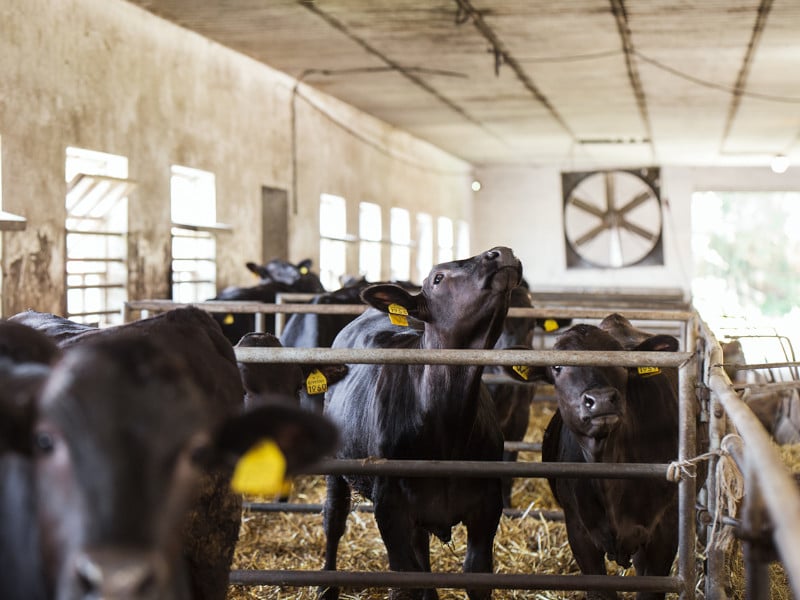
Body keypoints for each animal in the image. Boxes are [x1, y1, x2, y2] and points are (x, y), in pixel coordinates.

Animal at [322, 246, 520, 600]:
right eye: (438, 278)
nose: (500, 252)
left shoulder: (487, 507)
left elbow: (475, 573)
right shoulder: (390, 509)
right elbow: (407, 579)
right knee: (334, 519)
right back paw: (327, 586)